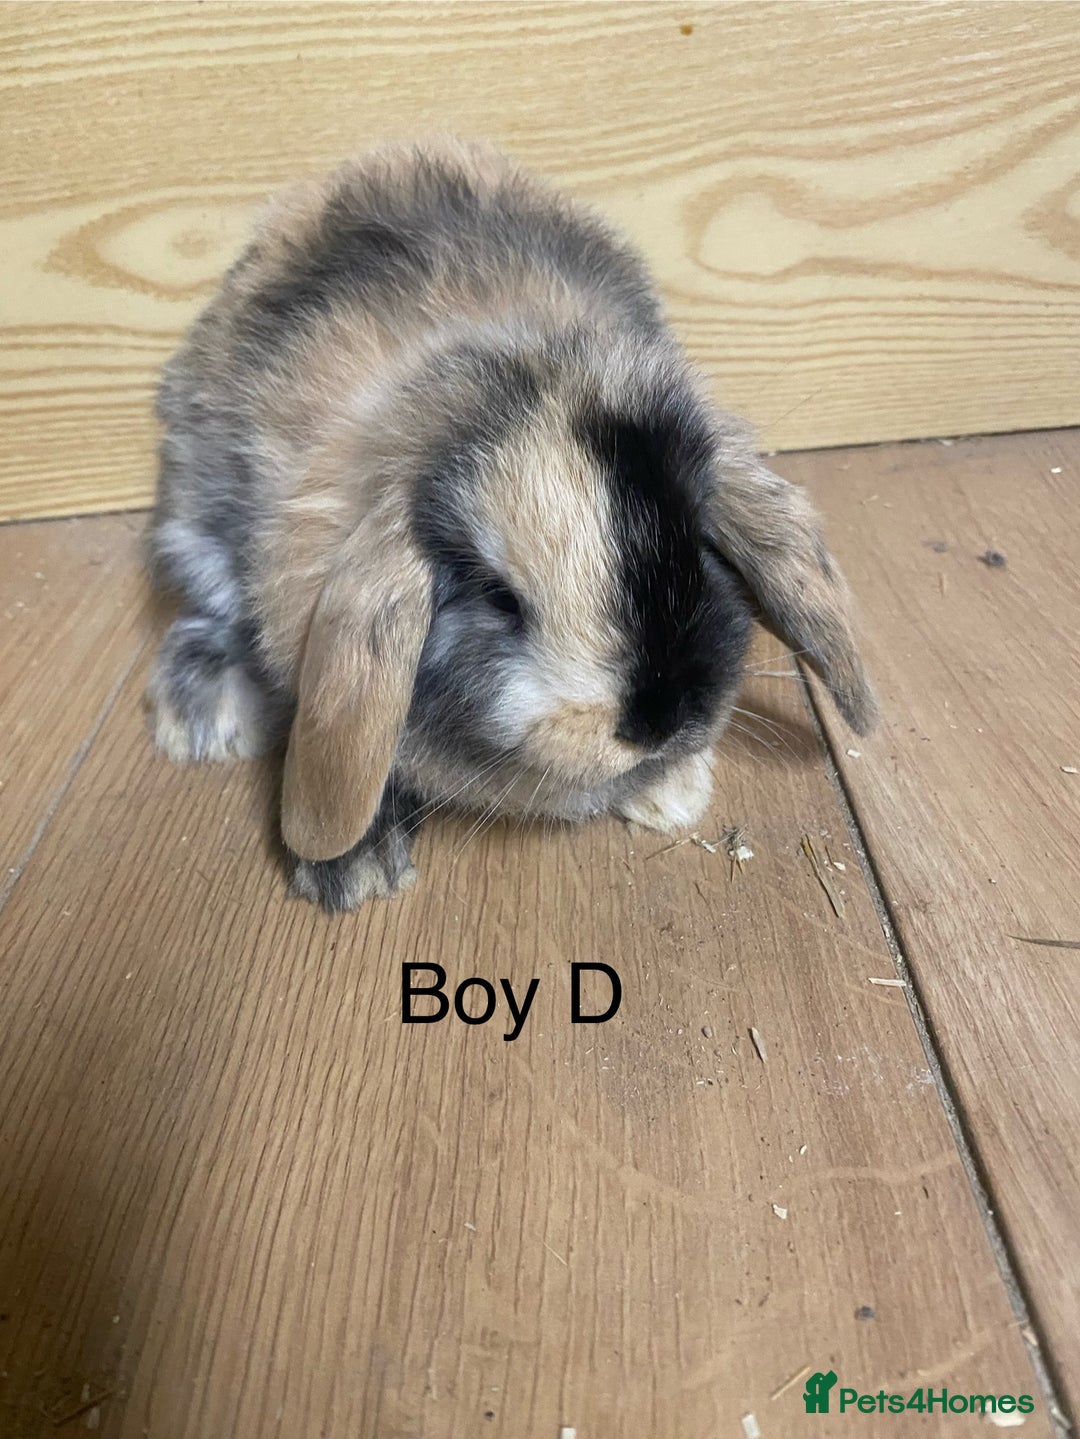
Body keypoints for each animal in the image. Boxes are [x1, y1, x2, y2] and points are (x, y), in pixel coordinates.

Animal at [147, 137, 875, 911]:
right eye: (499, 597)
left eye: (696, 543)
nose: (661, 722)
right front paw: (354, 868)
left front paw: (674, 793)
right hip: (199, 519)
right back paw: (204, 716)